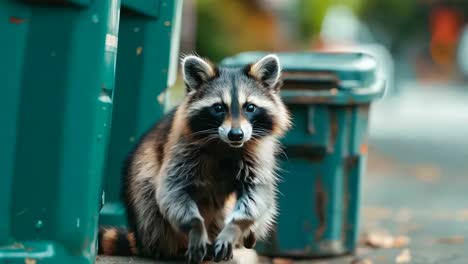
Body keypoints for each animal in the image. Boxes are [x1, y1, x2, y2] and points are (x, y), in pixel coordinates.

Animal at [98, 53, 288, 262]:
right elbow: (172, 191)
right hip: (143, 188)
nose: (236, 135)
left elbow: (257, 193)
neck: (226, 145)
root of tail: (142, 240)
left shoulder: (256, 154)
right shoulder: (181, 149)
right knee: (147, 194)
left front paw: (235, 227)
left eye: (250, 107)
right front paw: (195, 227)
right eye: (219, 108)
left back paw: (248, 235)